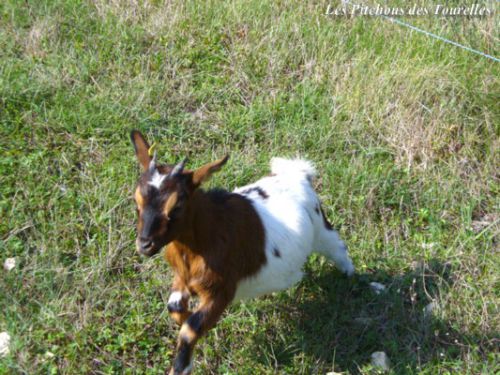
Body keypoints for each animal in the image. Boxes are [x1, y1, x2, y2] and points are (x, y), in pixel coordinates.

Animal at [129, 131, 356, 374]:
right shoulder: (183, 276)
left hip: (320, 228)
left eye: (177, 205)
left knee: (337, 246)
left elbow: (191, 329)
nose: (144, 244)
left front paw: (181, 366)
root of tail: (298, 174)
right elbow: (174, 306)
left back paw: (349, 275)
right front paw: (183, 316)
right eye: (137, 201)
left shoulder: (222, 289)